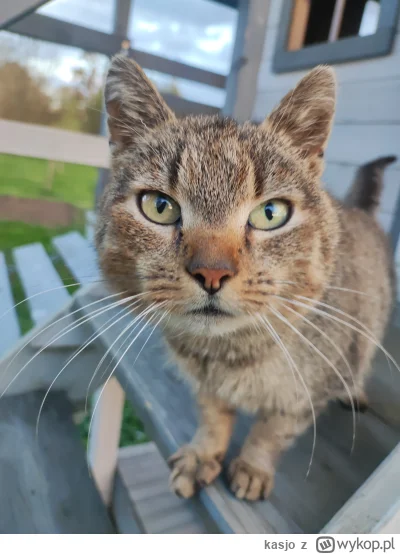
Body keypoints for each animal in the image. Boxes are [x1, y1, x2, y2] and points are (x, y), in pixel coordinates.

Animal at [95, 56, 396, 500]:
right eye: (159, 206)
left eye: (271, 213)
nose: (211, 272)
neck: (229, 355)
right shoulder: (204, 385)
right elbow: (212, 419)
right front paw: (204, 454)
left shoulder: (302, 397)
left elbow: (271, 432)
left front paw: (253, 467)